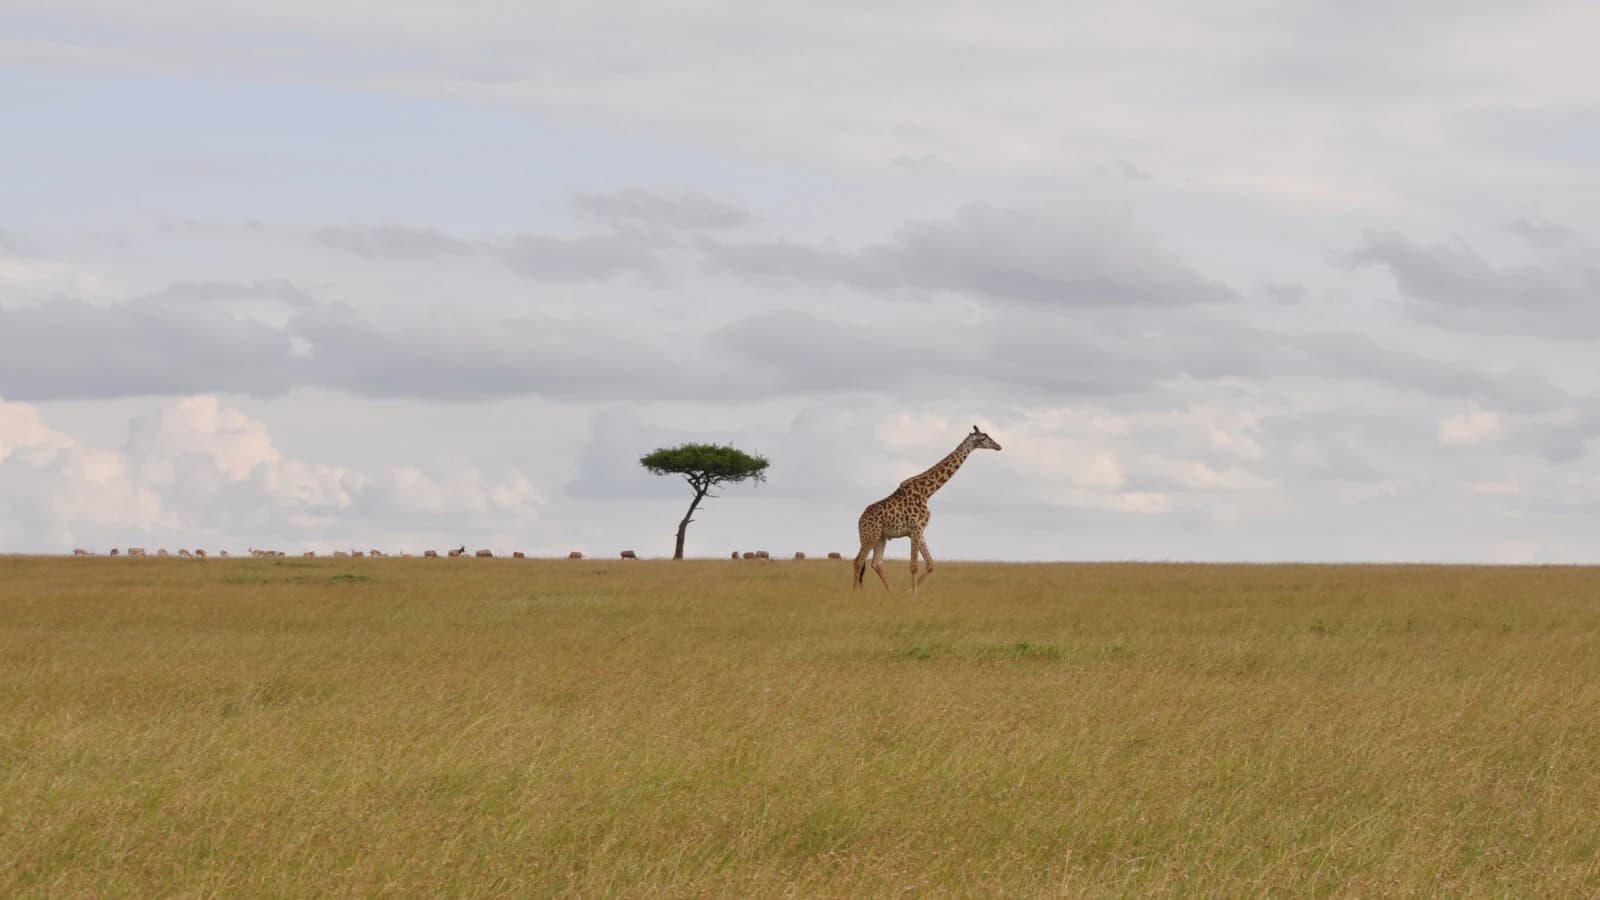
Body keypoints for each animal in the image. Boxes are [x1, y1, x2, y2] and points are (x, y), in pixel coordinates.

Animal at [853, 425, 1002, 594]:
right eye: (983, 438)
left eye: (988, 436)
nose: (998, 446)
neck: (927, 492)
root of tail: (860, 520)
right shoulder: (915, 528)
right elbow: (914, 565)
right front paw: (914, 593)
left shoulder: (919, 531)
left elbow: (930, 564)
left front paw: (909, 591)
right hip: (870, 536)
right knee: (858, 561)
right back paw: (854, 591)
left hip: (881, 537)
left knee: (876, 563)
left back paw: (890, 591)